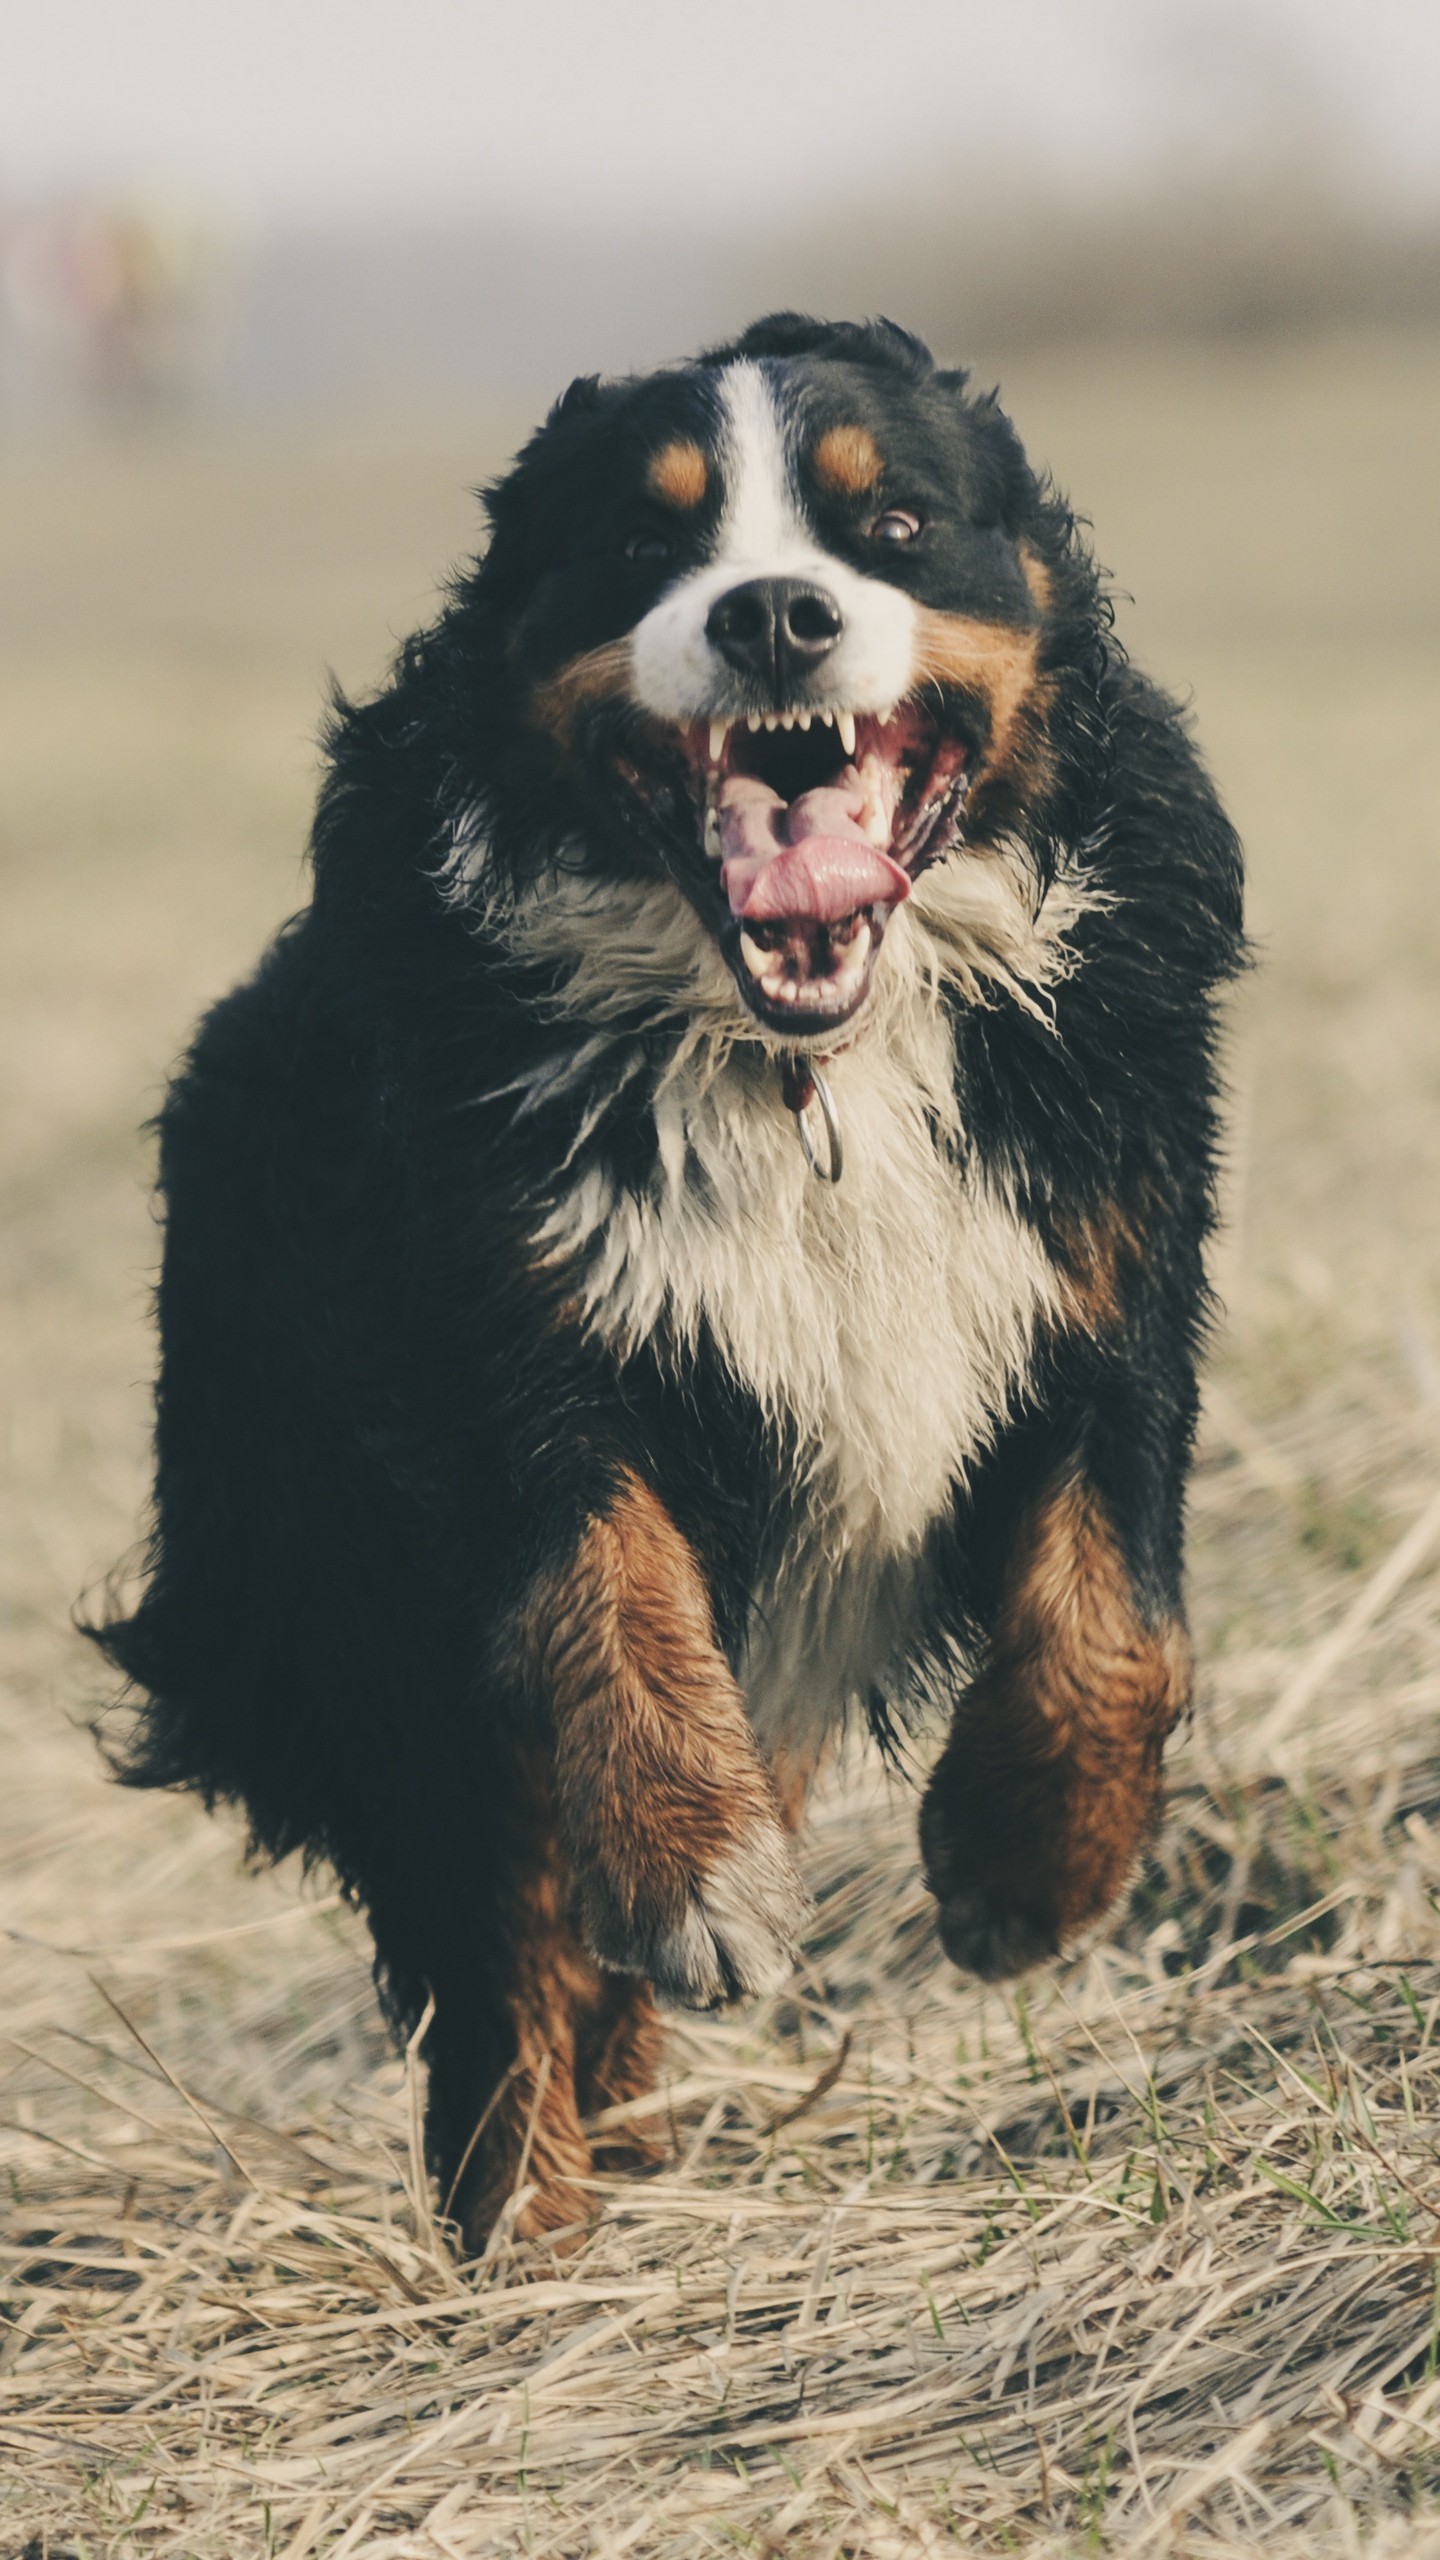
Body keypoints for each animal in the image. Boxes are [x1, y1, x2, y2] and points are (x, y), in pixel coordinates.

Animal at [89, 314, 1240, 2242]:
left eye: (895, 521)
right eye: (643, 540)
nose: (774, 613)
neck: (806, 1068)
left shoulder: (1105, 1279)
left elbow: (1117, 1625)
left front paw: (1024, 1870)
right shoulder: (514, 1343)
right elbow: (608, 1604)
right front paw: (698, 1875)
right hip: (351, 1594)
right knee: (501, 1939)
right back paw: (533, 2227)